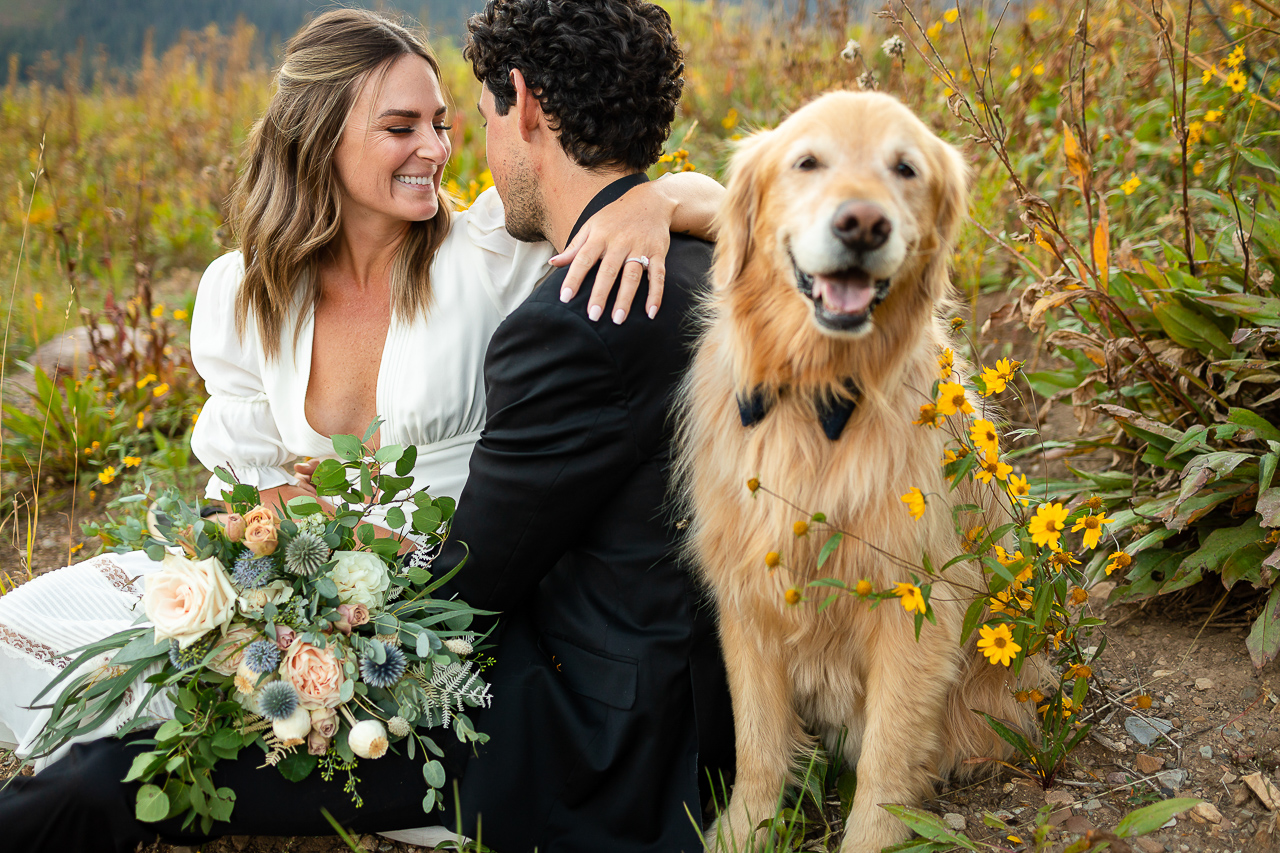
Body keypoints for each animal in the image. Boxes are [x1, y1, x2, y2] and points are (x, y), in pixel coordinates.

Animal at [675, 89, 1034, 845]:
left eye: (906, 168)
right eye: (807, 161)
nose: (863, 224)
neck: (821, 396)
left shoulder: (915, 603)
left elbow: (888, 759)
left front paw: (874, 837)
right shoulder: (745, 596)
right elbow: (757, 743)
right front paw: (744, 831)